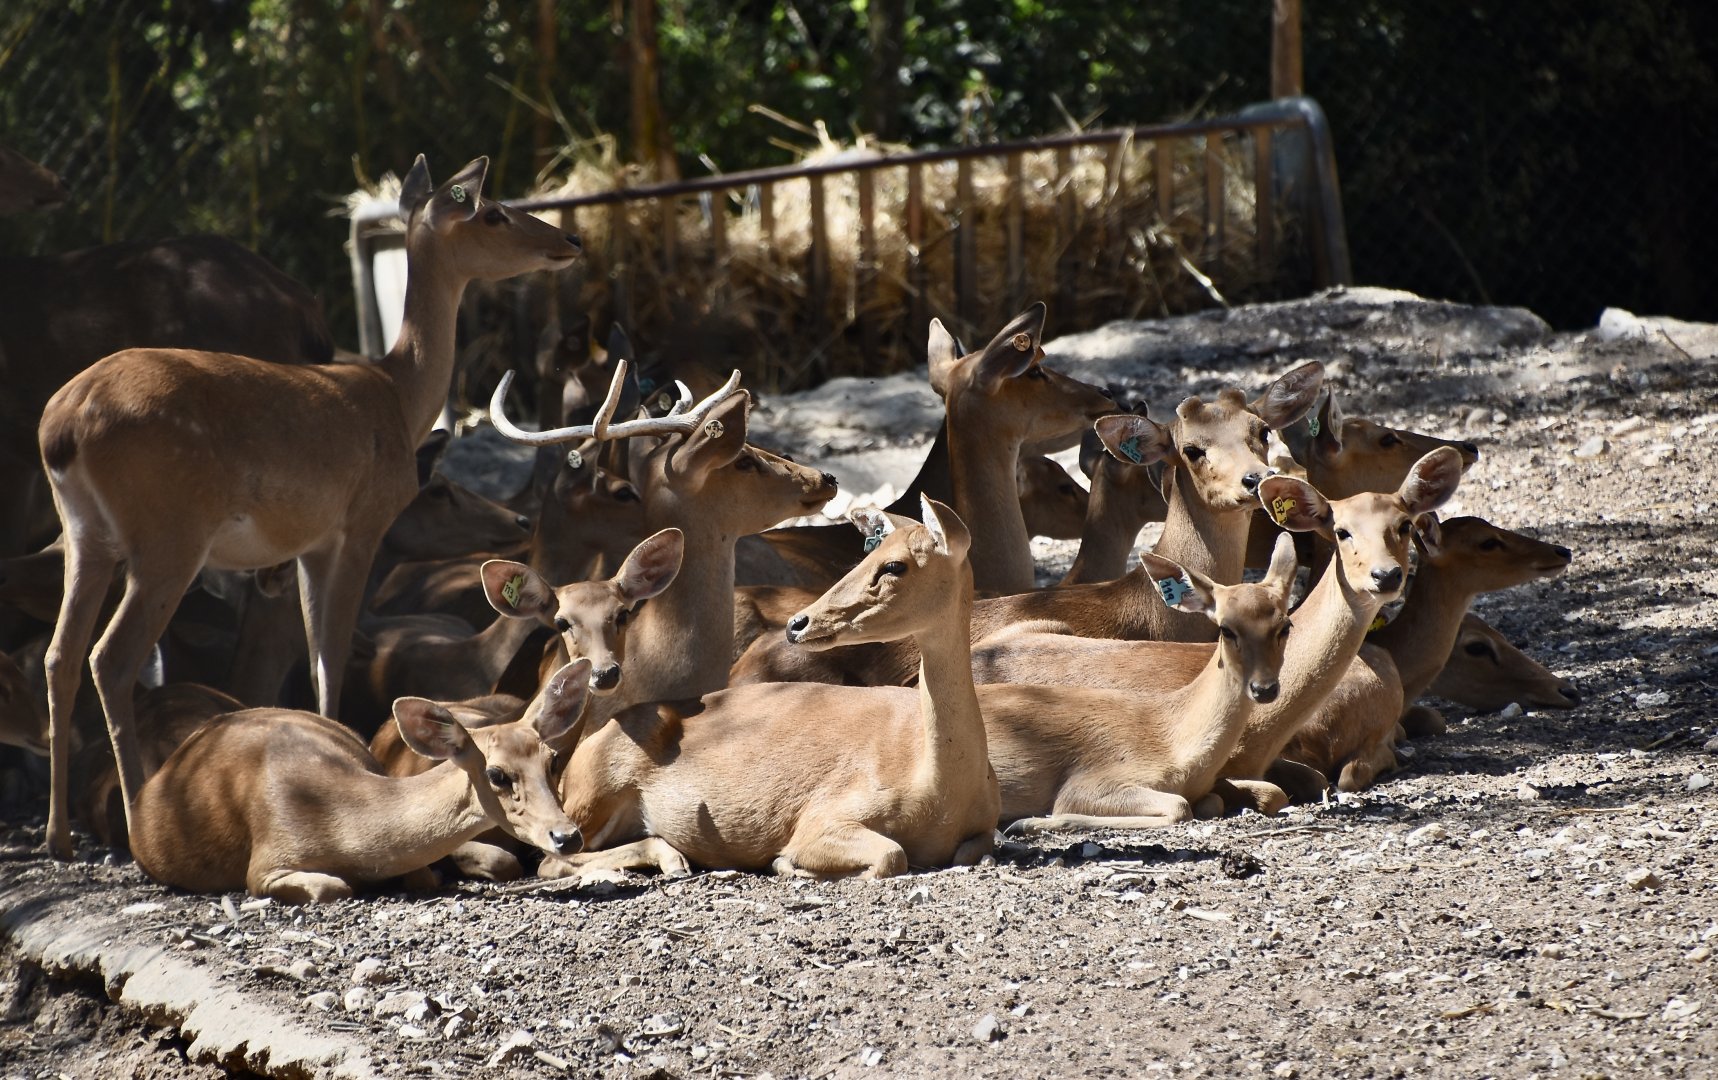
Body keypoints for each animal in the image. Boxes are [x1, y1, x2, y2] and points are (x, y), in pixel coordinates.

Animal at [34, 155, 590, 859]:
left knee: (59, 655)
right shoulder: (358, 523)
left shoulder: (305, 544)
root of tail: (61, 426)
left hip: (85, 535)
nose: (569, 240)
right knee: (112, 657)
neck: (397, 396)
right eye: (492, 211)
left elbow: (316, 644)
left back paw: (59, 835)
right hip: (168, 536)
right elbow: (328, 653)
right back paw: (136, 818)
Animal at [128, 660, 593, 902]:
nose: (567, 836)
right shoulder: (265, 863)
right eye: (496, 773)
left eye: (553, 760)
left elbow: (427, 875)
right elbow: (333, 886)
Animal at [536, 497, 999, 881]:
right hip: (595, 792)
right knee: (550, 858)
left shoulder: (986, 824)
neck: (940, 789)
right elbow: (892, 854)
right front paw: (786, 863)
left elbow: (974, 848)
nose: (799, 622)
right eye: (867, 556)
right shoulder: (826, 815)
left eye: (895, 565)